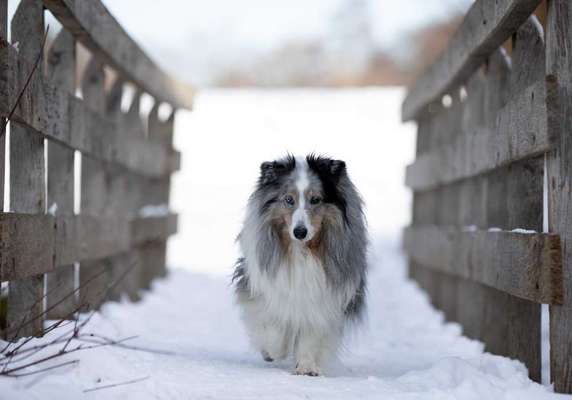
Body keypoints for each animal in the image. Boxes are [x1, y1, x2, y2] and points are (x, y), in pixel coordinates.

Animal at [231, 153, 366, 376]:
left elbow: (310, 333)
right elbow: (276, 323)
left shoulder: (321, 297)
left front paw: (306, 367)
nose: (300, 232)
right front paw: (273, 351)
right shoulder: (268, 287)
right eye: (288, 200)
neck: (301, 251)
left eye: (316, 200)